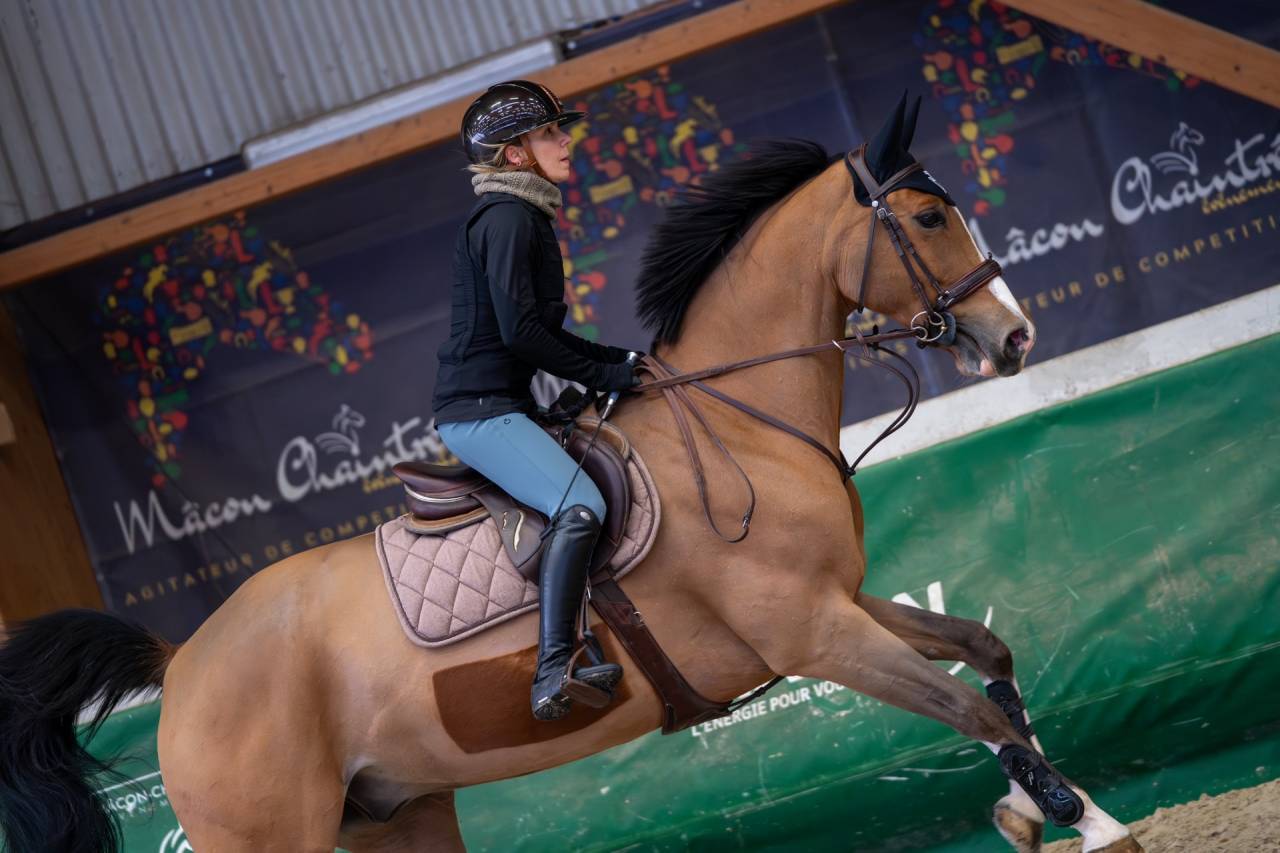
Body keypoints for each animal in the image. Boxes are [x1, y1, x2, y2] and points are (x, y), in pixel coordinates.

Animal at [0, 99, 1142, 853]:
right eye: (928, 218)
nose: (1014, 337)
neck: (744, 420)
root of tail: (183, 660)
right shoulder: (815, 634)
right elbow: (973, 711)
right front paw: (1084, 819)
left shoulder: (843, 604)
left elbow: (987, 656)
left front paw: (1037, 807)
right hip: (272, 837)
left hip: (396, 814)